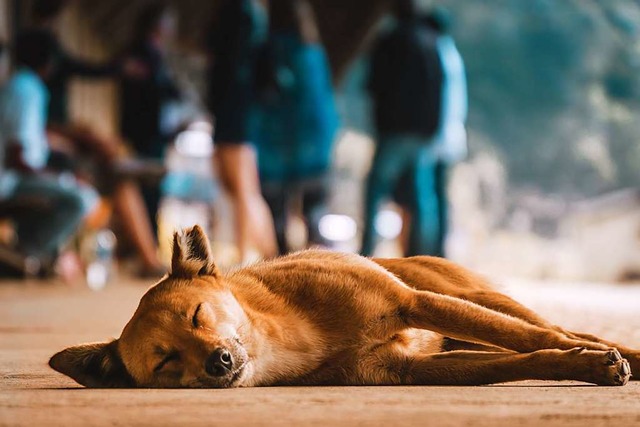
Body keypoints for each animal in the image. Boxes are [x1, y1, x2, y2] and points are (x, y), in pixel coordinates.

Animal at [50, 226, 636, 390]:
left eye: (198, 315)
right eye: (166, 360)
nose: (218, 362)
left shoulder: (413, 303)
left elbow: (537, 343)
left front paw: (592, 362)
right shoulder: (405, 369)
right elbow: (515, 362)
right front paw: (579, 366)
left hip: (468, 298)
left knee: (554, 327)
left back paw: (616, 350)